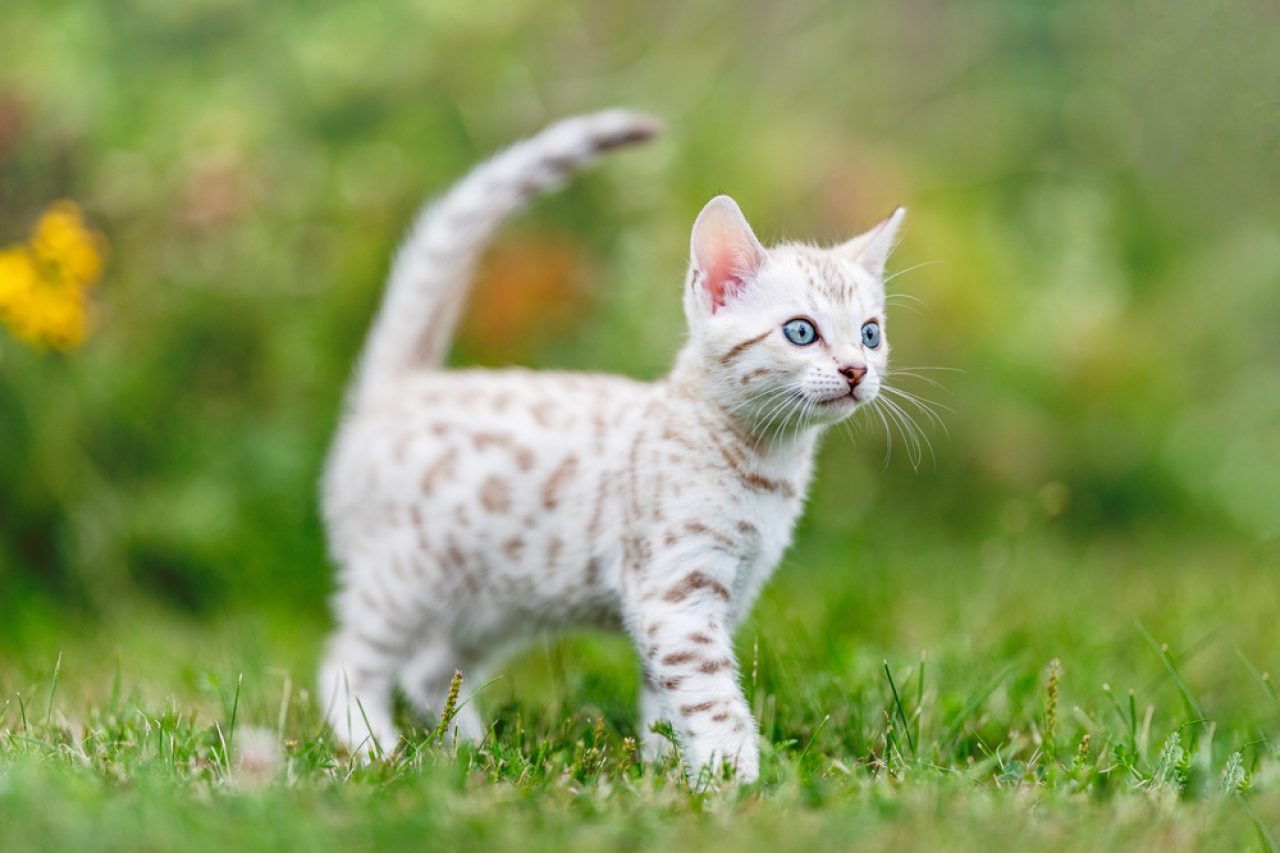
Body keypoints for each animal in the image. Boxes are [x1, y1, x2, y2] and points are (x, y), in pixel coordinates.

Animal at [316, 109, 906, 778]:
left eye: (871, 334)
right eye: (801, 332)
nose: (858, 370)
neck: (766, 468)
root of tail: (402, 386)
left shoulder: (717, 595)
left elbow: (665, 700)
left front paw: (666, 771)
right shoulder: (677, 597)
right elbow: (713, 698)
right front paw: (735, 780)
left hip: (496, 595)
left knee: (428, 669)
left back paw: (473, 751)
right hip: (405, 574)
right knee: (346, 661)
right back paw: (373, 749)